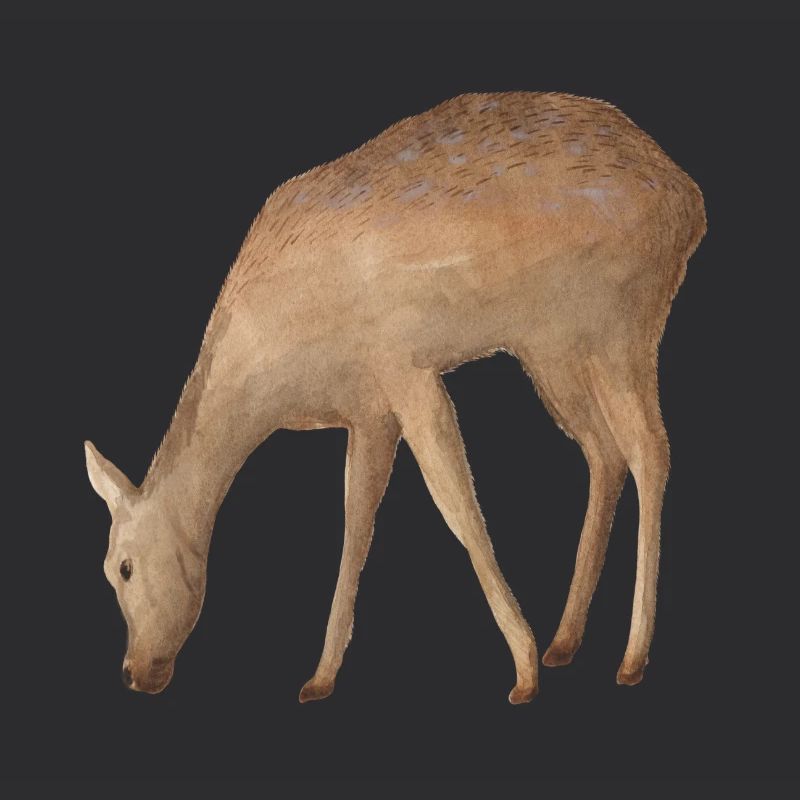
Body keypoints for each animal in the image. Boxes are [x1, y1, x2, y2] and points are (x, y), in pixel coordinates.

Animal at [85, 91, 706, 704]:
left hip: (624, 319)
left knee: (650, 448)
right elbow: (356, 523)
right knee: (604, 451)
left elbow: (459, 508)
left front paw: (523, 672)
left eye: (122, 567)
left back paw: (630, 657)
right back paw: (565, 640)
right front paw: (320, 677)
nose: (134, 673)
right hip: (550, 344)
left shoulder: (405, 367)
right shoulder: (368, 410)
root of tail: (690, 202)